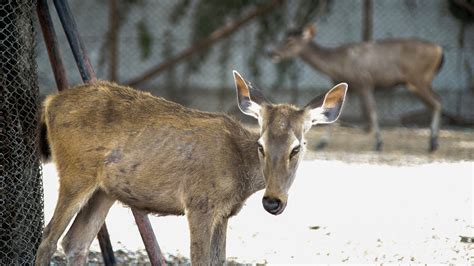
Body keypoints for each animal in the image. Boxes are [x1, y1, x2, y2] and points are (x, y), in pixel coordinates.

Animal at [35, 70, 346, 264]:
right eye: (261, 145)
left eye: (297, 147)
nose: (273, 201)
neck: (239, 178)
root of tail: (49, 102)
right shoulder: (200, 202)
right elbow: (200, 259)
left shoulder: (224, 213)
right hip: (75, 171)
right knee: (49, 237)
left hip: (104, 192)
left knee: (75, 242)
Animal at [270, 24, 444, 152]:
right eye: (284, 38)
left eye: (290, 41)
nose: (272, 52)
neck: (337, 66)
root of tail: (439, 50)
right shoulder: (351, 88)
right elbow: (334, 117)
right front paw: (322, 143)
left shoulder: (364, 82)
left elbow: (372, 111)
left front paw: (378, 143)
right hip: (420, 82)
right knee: (436, 100)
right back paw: (433, 142)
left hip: (418, 78)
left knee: (436, 102)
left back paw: (433, 143)